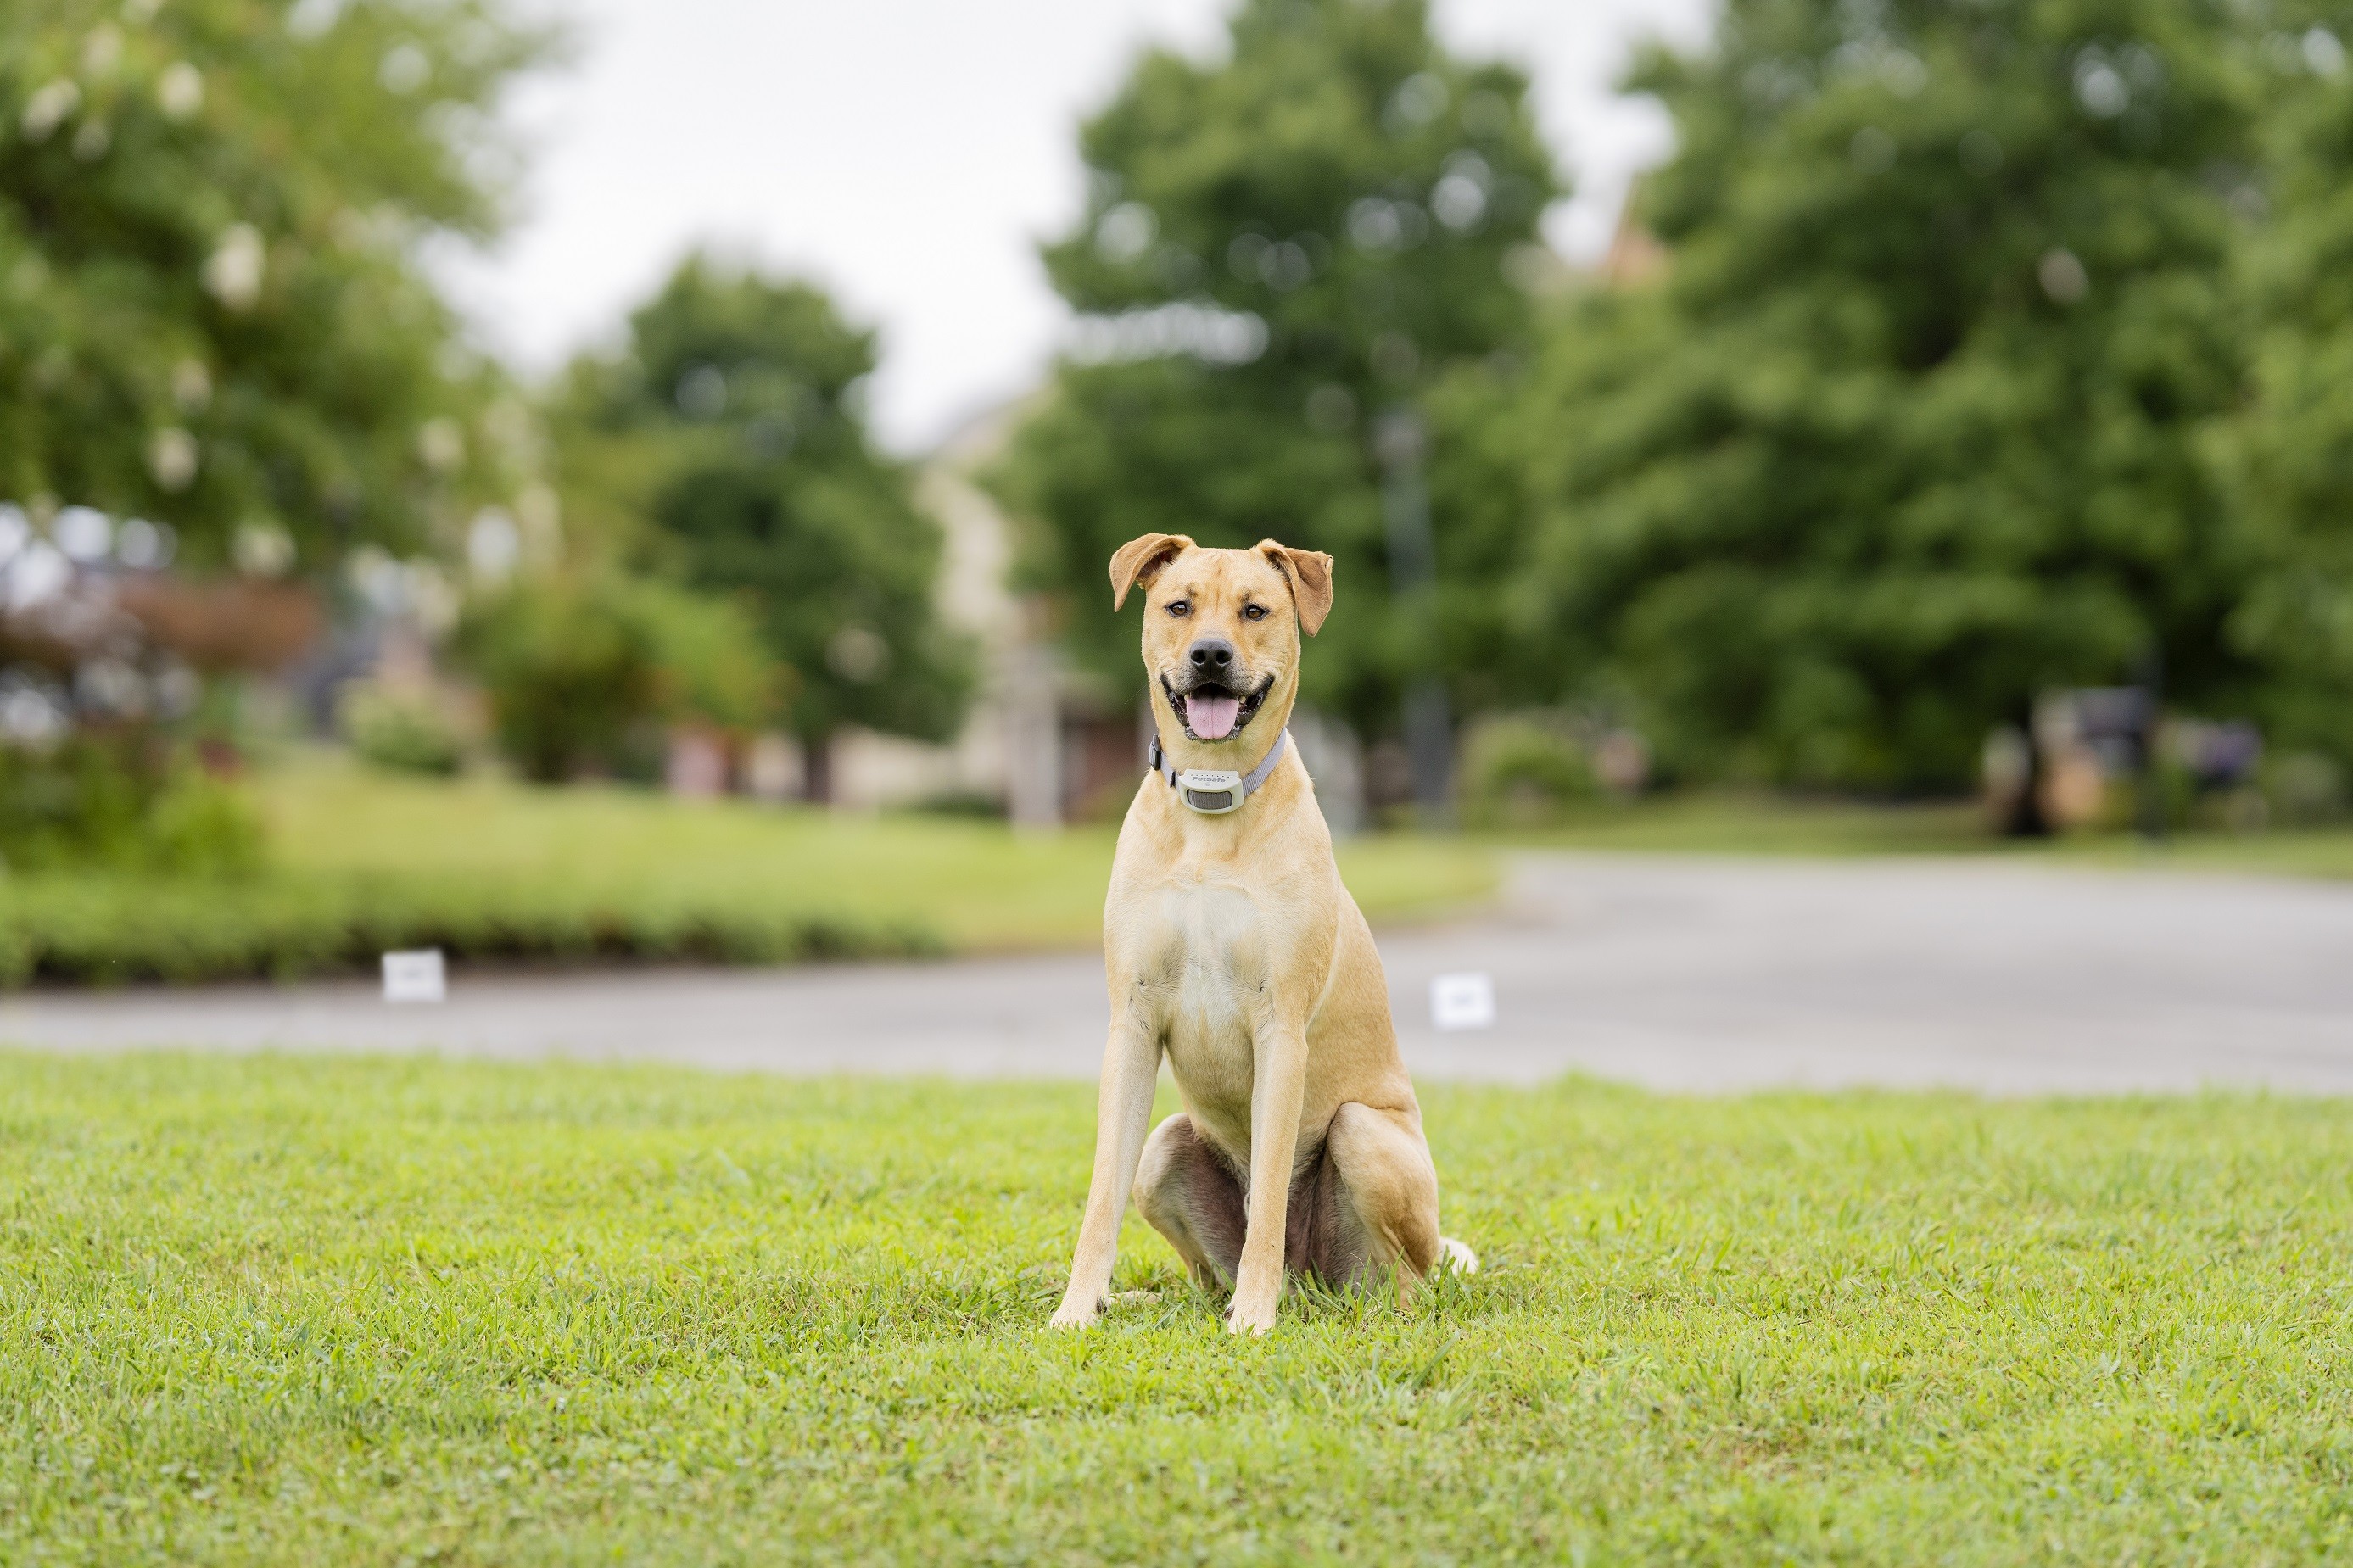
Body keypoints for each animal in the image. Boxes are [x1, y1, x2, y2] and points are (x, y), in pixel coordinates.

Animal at [1049, 531, 1467, 1335]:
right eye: (1179, 606)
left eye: (1255, 610)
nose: (1210, 654)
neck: (1212, 808)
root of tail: (1315, 1284)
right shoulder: (1133, 1022)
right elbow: (1099, 1195)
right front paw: (1079, 1306)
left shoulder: (1281, 1027)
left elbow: (1270, 1190)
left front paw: (1253, 1315)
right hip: (1165, 1147)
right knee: (1196, 1266)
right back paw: (1156, 1297)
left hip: (1363, 1135)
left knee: (1406, 1278)